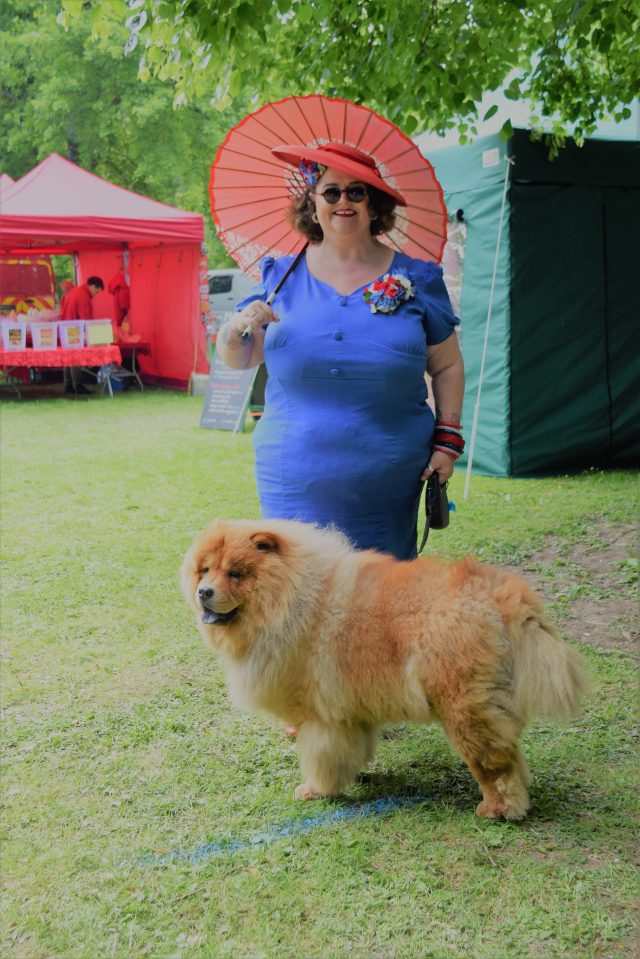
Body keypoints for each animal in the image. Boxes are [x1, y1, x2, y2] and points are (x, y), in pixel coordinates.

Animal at [179, 520, 584, 820]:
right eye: (204, 570)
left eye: (235, 574)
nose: (204, 592)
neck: (289, 599)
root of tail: (498, 594)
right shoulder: (348, 711)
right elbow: (352, 749)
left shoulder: (319, 718)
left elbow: (320, 758)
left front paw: (316, 790)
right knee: (511, 754)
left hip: (463, 709)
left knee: (494, 765)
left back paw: (498, 809)